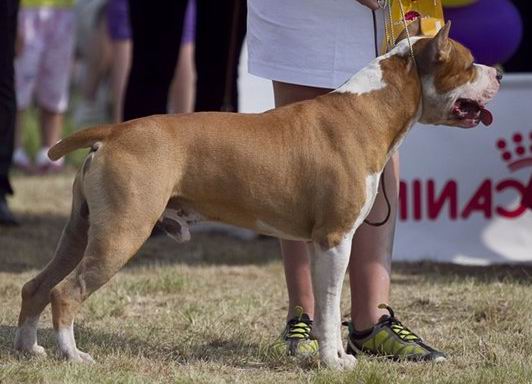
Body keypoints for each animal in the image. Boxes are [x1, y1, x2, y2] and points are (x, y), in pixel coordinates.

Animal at [15, 21, 498, 368]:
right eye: (470, 63)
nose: (499, 72)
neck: (373, 106)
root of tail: (114, 131)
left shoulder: (326, 242)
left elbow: (327, 305)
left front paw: (336, 355)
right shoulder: (335, 239)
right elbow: (328, 308)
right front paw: (334, 361)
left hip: (80, 231)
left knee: (36, 285)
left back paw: (29, 349)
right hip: (121, 234)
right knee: (66, 292)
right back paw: (74, 356)